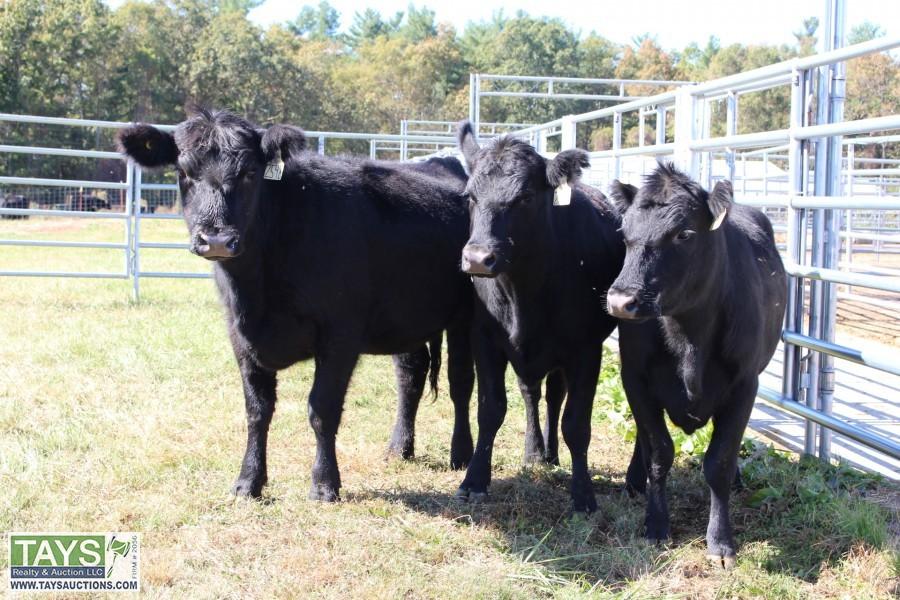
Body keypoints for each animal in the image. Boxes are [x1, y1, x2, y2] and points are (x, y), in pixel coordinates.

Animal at [117, 109, 480, 501]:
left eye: (250, 172)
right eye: (184, 172)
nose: (216, 239)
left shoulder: (340, 335)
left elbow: (322, 409)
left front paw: (324, 484)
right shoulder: (240, 336)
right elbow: (257, 411)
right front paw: (248, 482)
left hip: (465, 317)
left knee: (461, 382)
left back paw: (462, 454)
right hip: (406, 319)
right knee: (411, 376)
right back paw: (400, 448)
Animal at [454, 121, 623, 513]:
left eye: (526, 197)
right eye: (470, 197)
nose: (478, 259)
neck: (524, 291)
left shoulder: (585, 349)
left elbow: (576, 423)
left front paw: (583, 494)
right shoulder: (484, 338)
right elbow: (490, 410)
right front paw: (474, 480)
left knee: (553, 398)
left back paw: (551, 455)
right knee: (531, 394)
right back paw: (534, 451)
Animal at [605, 163, 786, 568]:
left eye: (684, 233)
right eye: (623, 234)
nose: (621, 301)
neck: (689, 337)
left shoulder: (744, 385)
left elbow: (719, 461)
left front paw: (720, 542)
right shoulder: (635, 378)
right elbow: (659, 451)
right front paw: (656, 524)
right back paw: (634, 480)